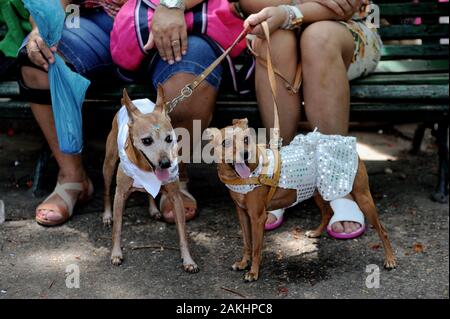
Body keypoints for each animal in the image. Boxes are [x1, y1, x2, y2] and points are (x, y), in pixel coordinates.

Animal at [103, 88, 199, 276]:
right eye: (147, 140)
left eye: (169, 138)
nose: (166, 163)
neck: (146, 168)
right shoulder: (120, 194)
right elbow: (117, 228)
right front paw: (116, 253)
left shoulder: (176, 198)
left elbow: (182, 232)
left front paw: (188, 260)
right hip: (109, 164)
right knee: (106, 190)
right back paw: (106, 215)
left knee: (150, 192)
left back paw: (154, 210)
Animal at [206, 119, 396, 282]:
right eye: (225, 143)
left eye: (246, 139)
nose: (245, 154)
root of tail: (352, 148)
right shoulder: (243, 215)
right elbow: (247, 243)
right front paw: (243, 263)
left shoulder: (258, 218)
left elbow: (256, 248)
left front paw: (253, 272)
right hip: (317, 192)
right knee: (327, 212)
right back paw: (316, 232)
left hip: (363, 198)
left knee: (382, 230)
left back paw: (390, 259)